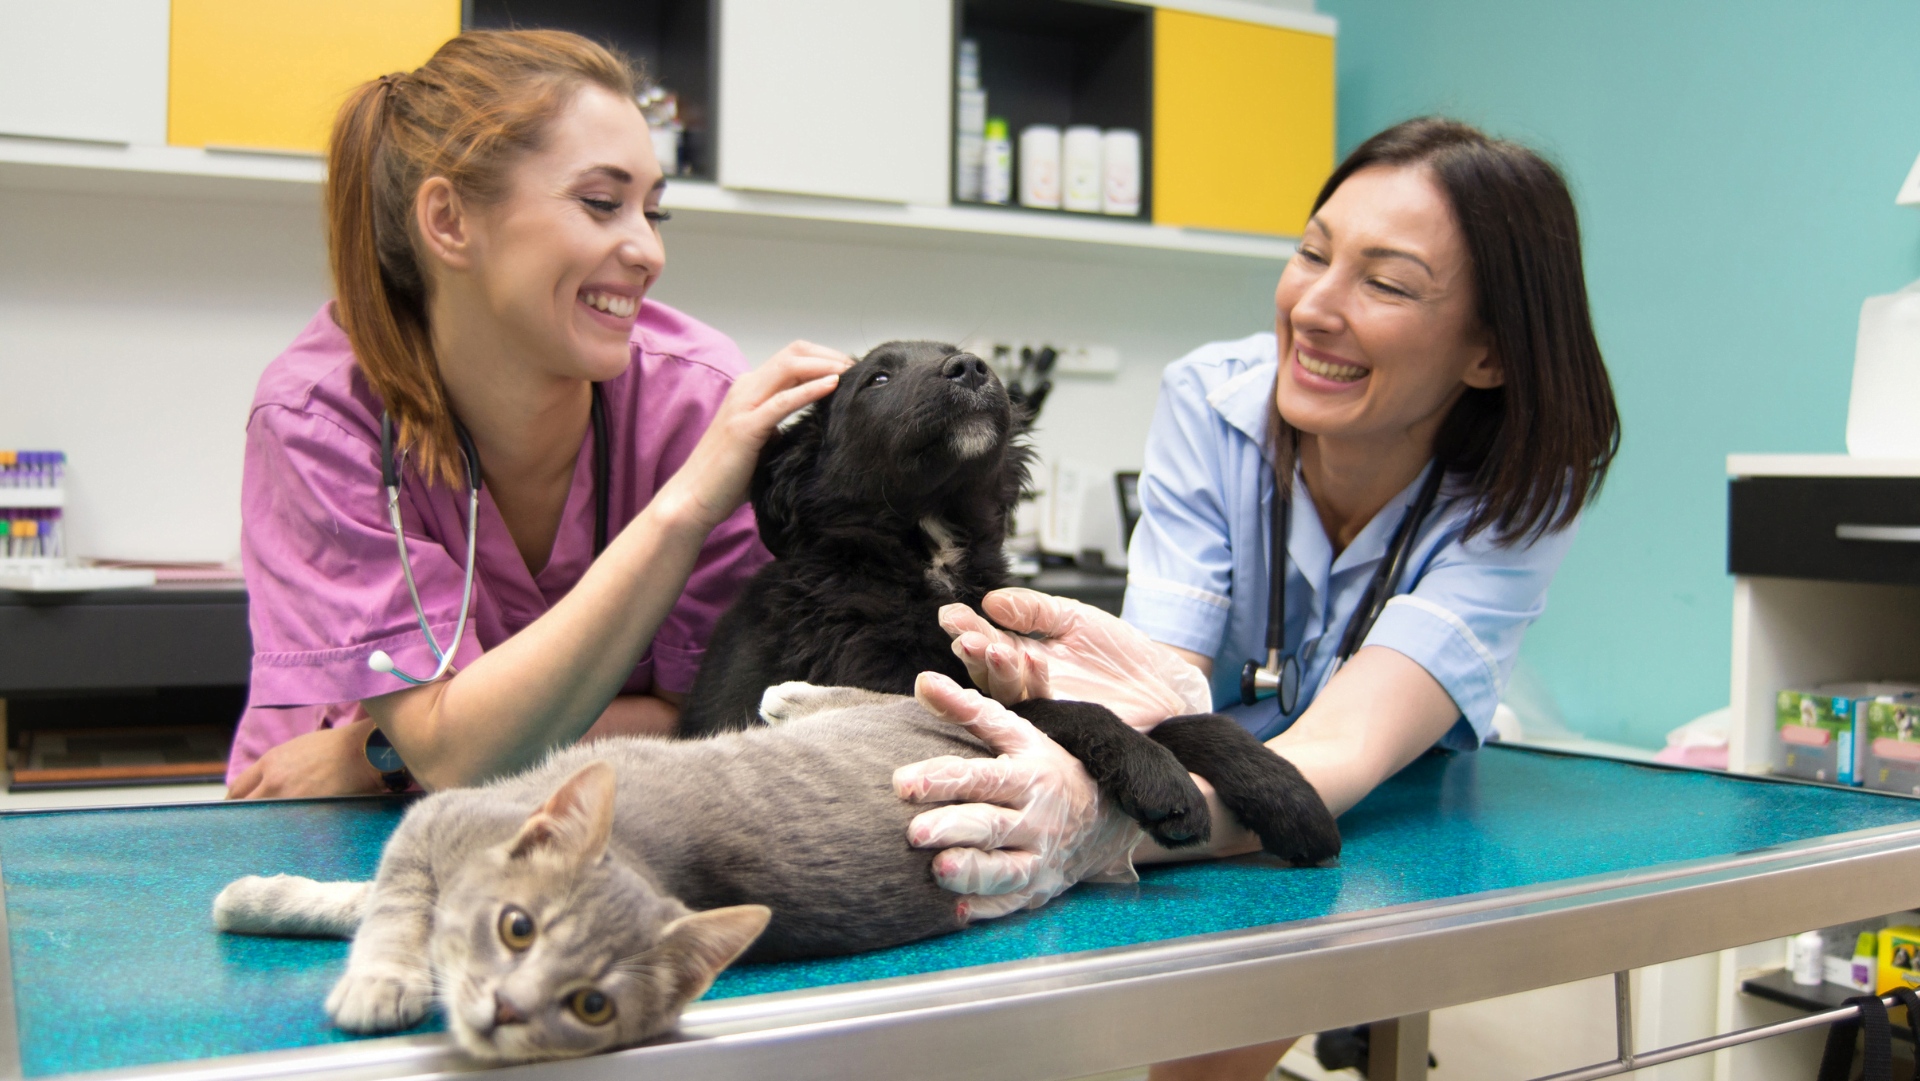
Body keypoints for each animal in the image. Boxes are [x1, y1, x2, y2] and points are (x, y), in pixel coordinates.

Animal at [217, 691, 1128, 1059]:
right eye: (517, 927)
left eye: (592, 1004)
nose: (507, 1007)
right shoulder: (432, 823)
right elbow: (386, 899)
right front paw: (272, 899)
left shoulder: (439, 827)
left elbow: (384, 903)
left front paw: (373, 974)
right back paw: (787, 691)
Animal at [683, 341, 1344, 867]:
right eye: (878, 377)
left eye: (954, 351)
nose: (972, 367)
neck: (930, 554)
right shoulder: (886, 683)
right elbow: (1047, 709)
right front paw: (1156, 775)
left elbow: (1182, 718)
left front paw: (1284, 792)